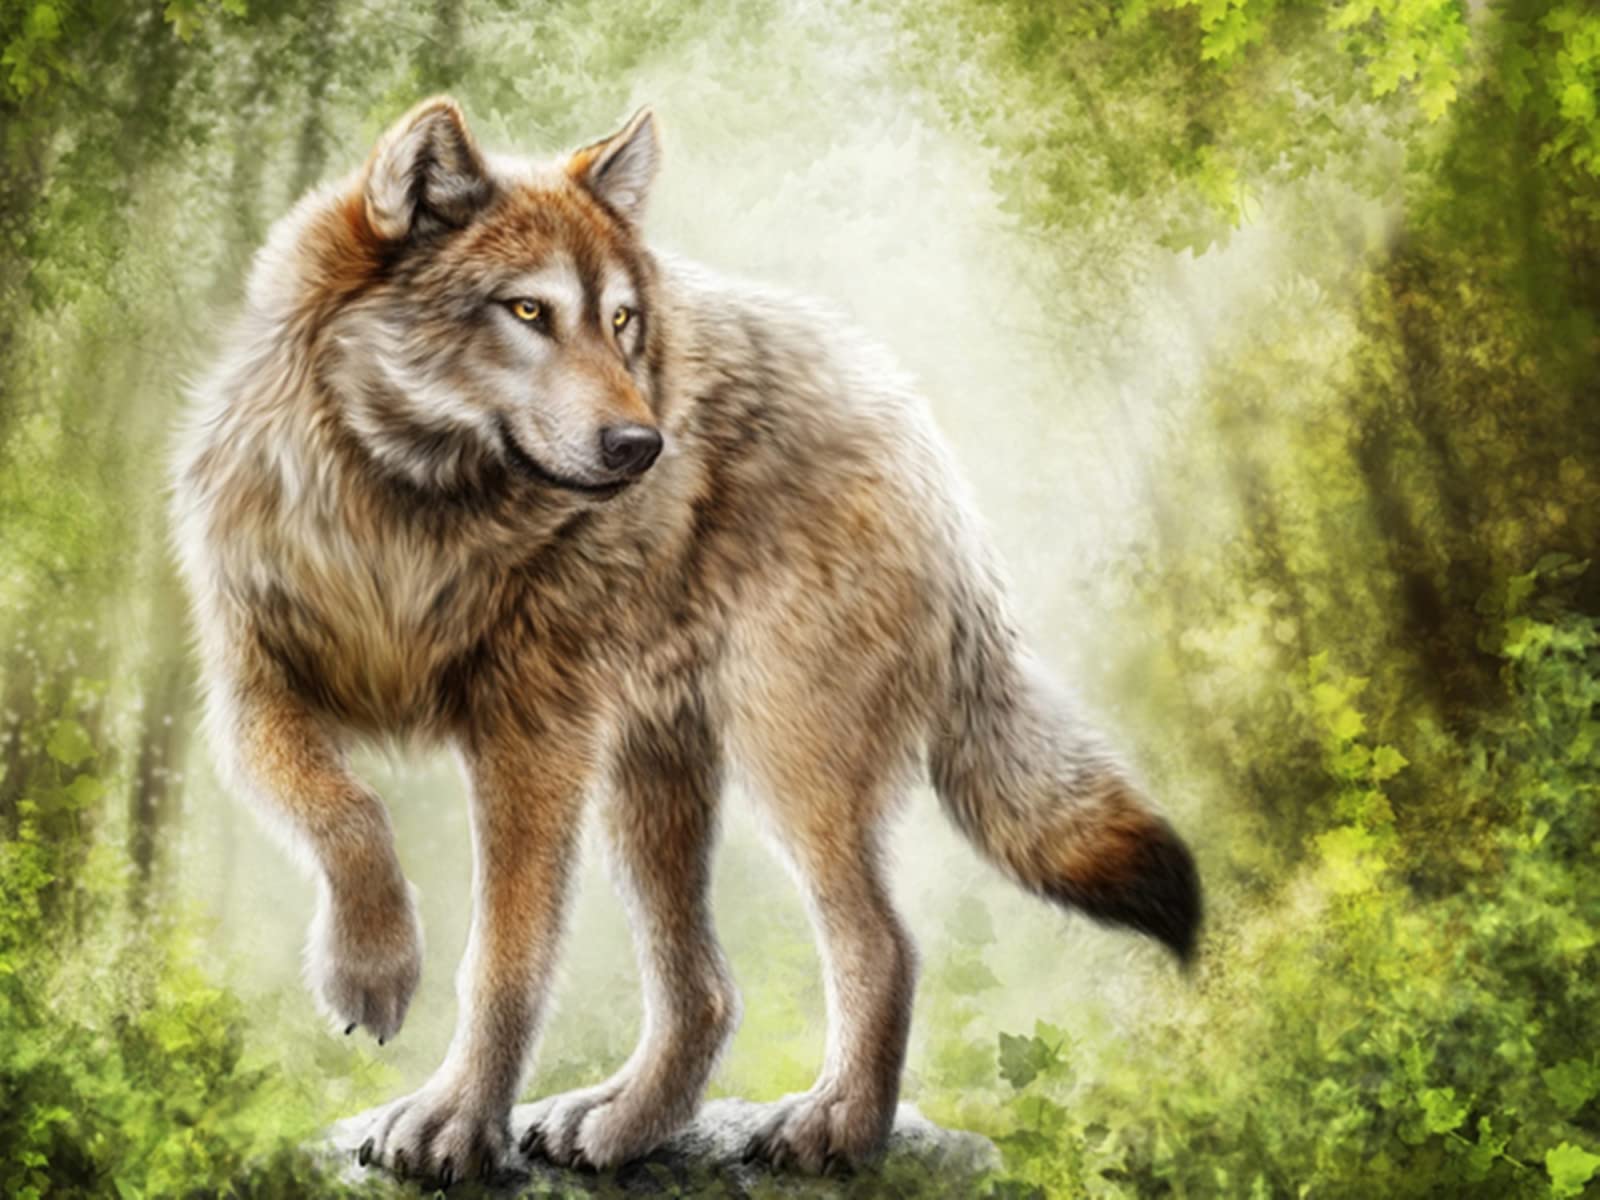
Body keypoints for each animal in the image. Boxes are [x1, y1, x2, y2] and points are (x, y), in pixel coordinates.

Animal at [171, 97, 1201, 1186]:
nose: (642, 447)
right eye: (527, 312)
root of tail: (918, 437)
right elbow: (348, 813)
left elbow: (503, 960)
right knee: (706, 992)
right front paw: (369, 970)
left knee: (881, 947)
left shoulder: (530, 745)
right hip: (651, 782)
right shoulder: (248, 699)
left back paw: (835, 1126)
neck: (404, 518)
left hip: (782, 763)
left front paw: (454, 1120)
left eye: (621, 321)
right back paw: (622, 1123)